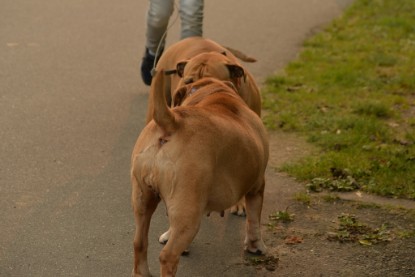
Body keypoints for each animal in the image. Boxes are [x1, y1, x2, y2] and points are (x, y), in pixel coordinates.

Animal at [132, 69, 270, 276]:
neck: (214, 93)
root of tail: (172, 122)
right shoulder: (257, 185)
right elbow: (254, 219)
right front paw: (256, 246)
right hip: (189, 213)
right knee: (168, 256)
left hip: (143, 200)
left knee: (139, 243)